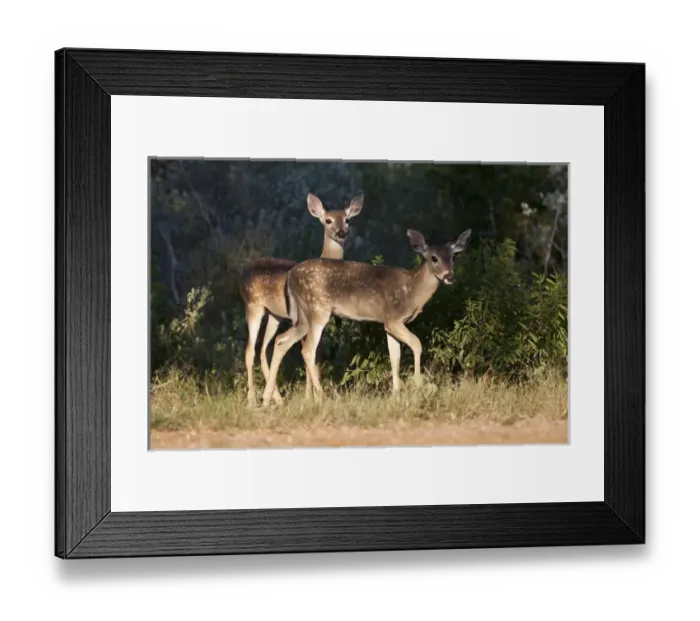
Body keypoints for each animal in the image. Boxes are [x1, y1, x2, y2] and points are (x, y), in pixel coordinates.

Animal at [239, 192, 364, 406]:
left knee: (263, 350)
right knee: (250, 350)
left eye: (347, 220)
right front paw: (311, 397)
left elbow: (313, 355)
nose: (341, 233)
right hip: (254, 306)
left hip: (275, 315)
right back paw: (253, 400)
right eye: (328, 220)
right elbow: (307, 352)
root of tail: (242, 275)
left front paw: (309, 397)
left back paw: (276, 399)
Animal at [260, 227, 472, 407]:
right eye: (434, 258)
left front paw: (395, 395)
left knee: (282, 340)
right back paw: (321, 397)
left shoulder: (389, 324)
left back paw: (268, 399)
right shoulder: (393, 318)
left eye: (453, 257)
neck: (412, 292)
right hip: (318, 309)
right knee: (307, 349)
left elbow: (394, 356)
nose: (449, 276)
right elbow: (417, 344)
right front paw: (418, 387)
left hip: (304, 316)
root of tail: (290, 275)